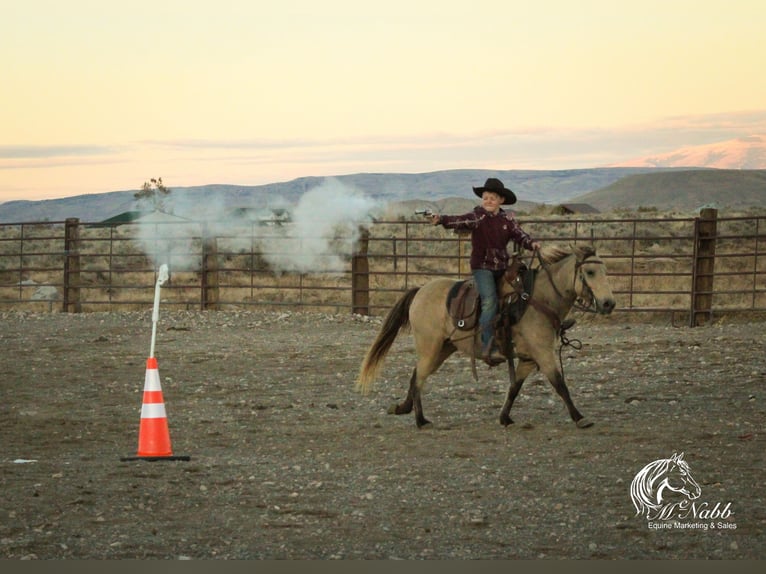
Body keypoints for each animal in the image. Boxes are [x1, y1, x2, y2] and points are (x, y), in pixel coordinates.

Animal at [358, 245, 616, 430]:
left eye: (606, 272)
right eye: (590, 272)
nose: (609, 303)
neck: (538, 300)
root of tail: (420, 290)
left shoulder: (528, 358)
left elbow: (514, 387)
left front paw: (505, 418)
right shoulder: (544, 354)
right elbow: (560, 384)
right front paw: (580, 418)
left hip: (443, 348)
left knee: (416, 375)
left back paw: (404, 408)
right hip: (429, 346)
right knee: (420, 377)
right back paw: (420, 420)